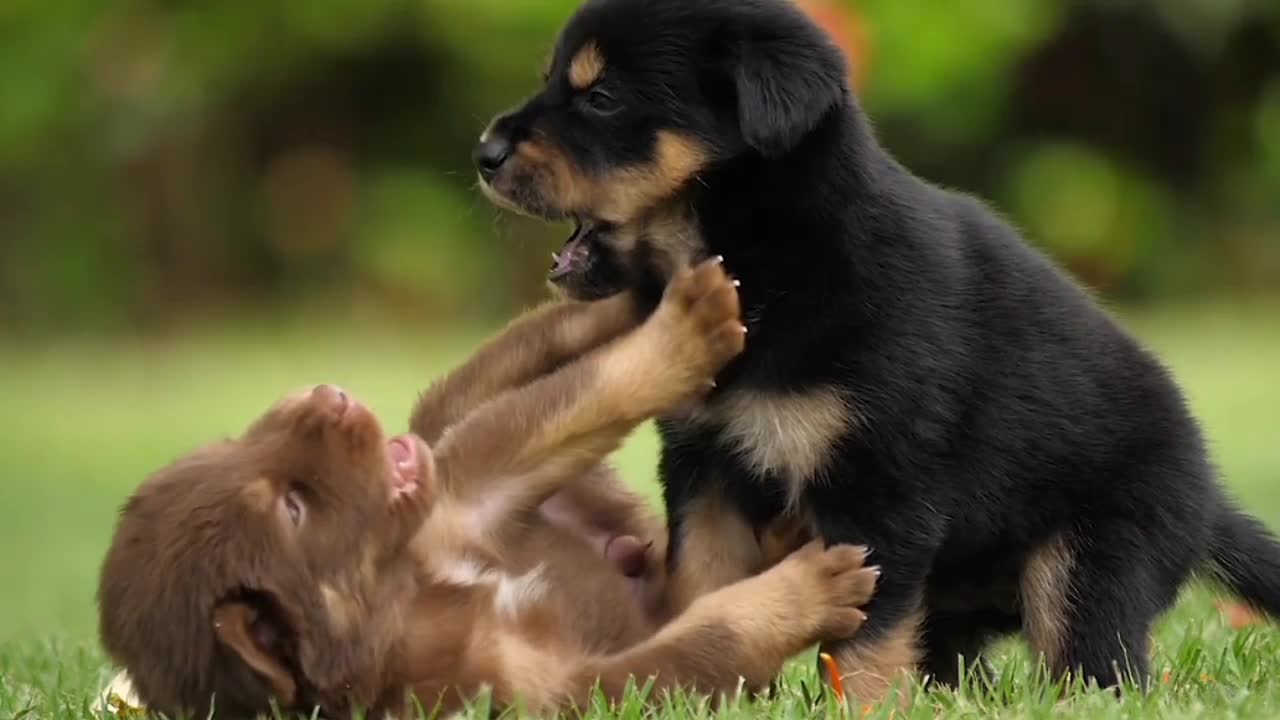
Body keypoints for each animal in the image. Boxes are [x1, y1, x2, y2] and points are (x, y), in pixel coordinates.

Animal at [99, 257, 880, 717]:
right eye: (293, 508)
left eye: (234, 443)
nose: (330, 396)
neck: (416, 593)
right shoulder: (555, 692)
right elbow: (703, 642)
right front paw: (812, 589)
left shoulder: (468, 501)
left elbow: (580, 394)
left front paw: (672, 322)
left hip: (446, 435)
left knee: (482, 385)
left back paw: (617, 298)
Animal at [476, 0, 1280, 702]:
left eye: (601, 96)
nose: (483, 154)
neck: (769, 268)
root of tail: (1207, 499)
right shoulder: (706, 470)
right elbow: (705, 587)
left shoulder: (881, 487)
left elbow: (863, 647)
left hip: (1091, 562)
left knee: (1095, 670)